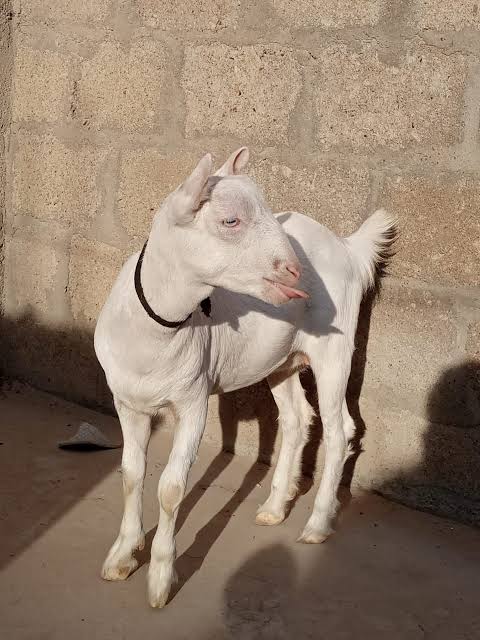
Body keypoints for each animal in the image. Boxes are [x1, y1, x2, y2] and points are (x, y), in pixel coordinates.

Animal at [94, 147, 396, 608]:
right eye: (230, 221)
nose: (293, 270)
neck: (156, 331)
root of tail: (345, 247)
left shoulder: (193, 400)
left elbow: (171, 488)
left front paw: (161, 578)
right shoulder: (127, 401)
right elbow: (130, 474)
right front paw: (122, 557)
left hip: (335, 348)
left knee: (339, 427)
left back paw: (317, 523)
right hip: (281, 360)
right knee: (297, 418)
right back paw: (275, 506)